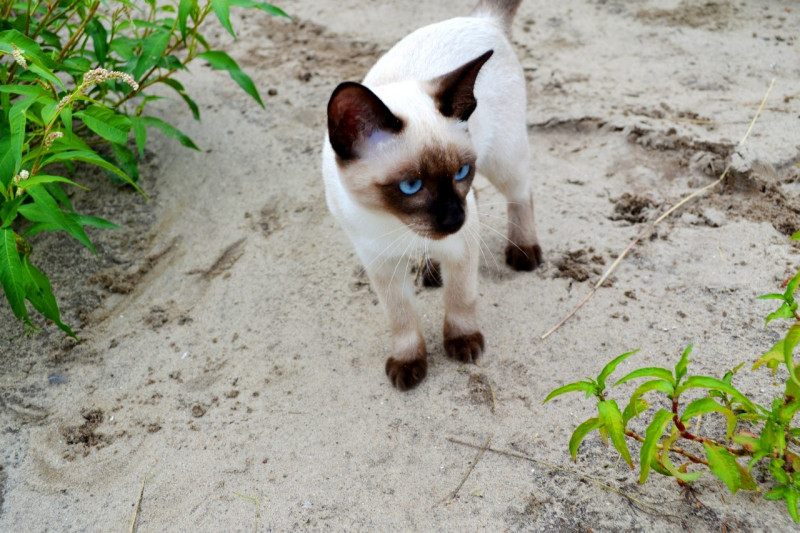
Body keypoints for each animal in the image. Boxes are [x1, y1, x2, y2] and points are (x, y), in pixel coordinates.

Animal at [322, 0, 541, 390]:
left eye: (461, 172)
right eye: (411, 186)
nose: (454, 218)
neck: (396, 224)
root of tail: (480, 19)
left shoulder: (462, 244)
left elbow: (461, 299)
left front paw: (462, 344)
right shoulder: (380, 264)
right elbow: (401, 317)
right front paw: (409, 363)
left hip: (503, 161)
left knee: (522, 193)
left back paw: (524, 252)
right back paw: (431, 270)